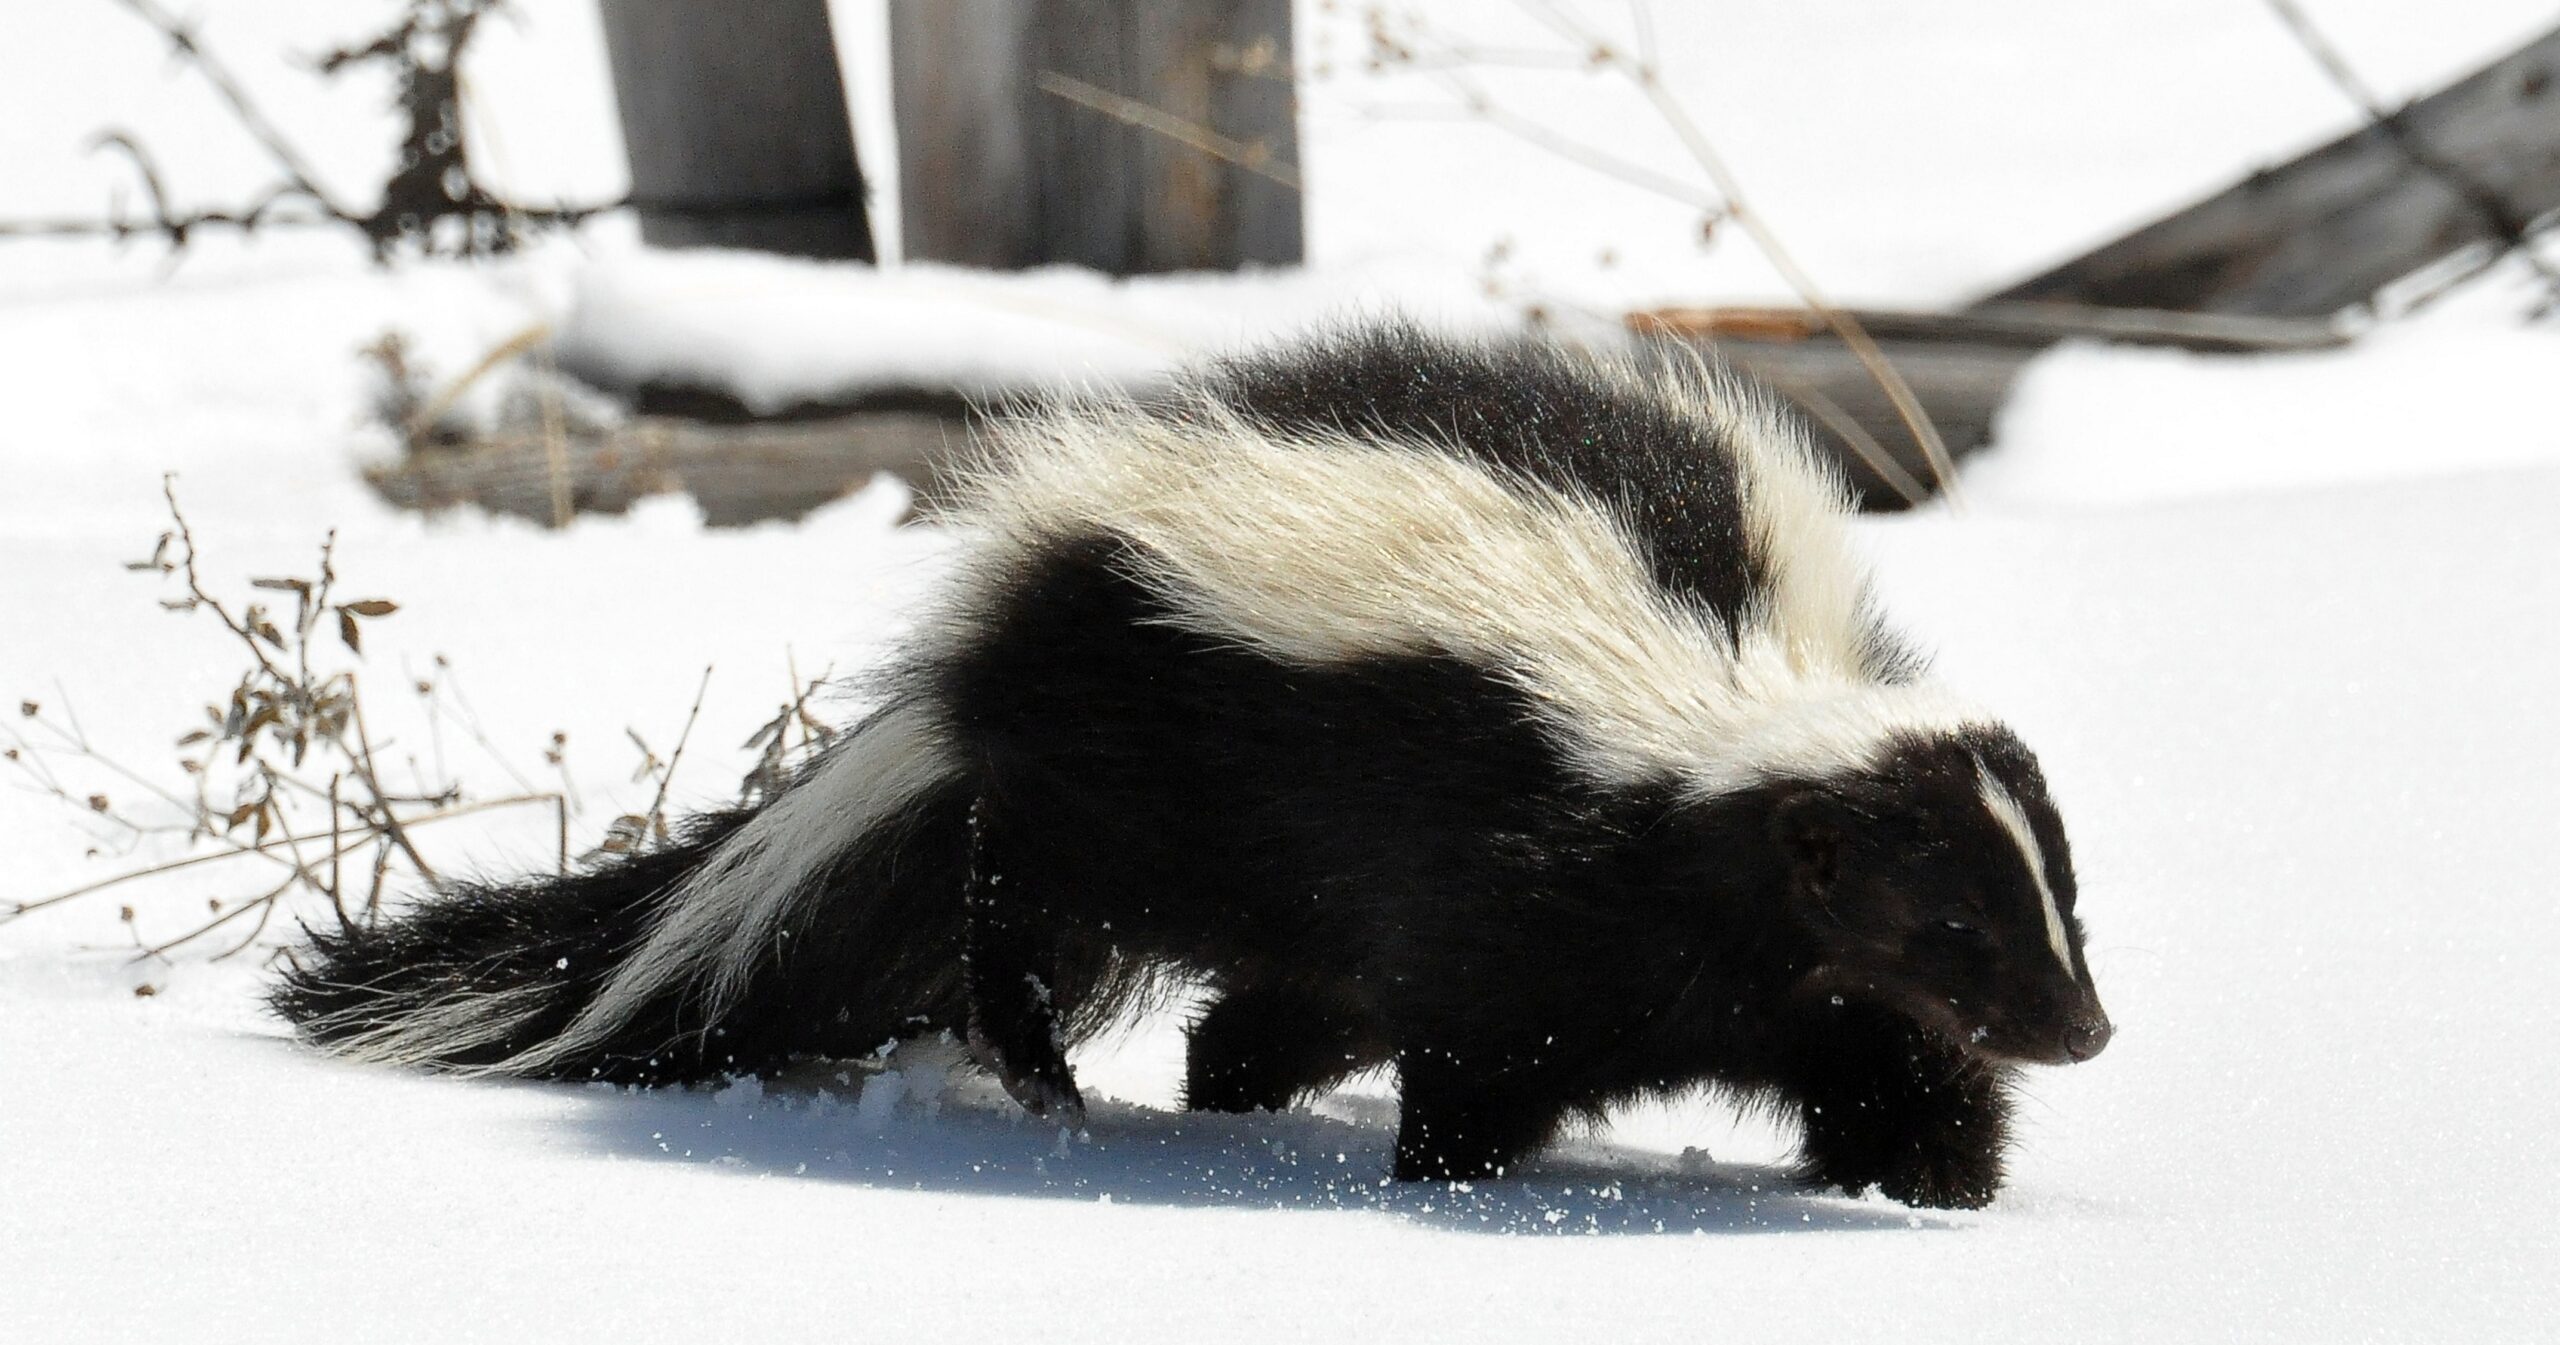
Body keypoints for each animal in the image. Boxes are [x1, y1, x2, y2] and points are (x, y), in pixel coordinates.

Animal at [285, 322, 2119, 1204]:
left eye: (2062, 908)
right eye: (1953, 920)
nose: (2087, 1030)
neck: (1719, 709)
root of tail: (981, 641)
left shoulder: (1779, 960)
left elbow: (1880, 1049)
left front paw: (1935, 1181)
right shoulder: (1521, 863)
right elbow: (1490, 1043)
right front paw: (1452, 1182)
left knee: (1267, 1005)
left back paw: (1221, 1086)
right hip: (1126, 764)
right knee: (1018, 895)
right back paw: (1048, 1071)